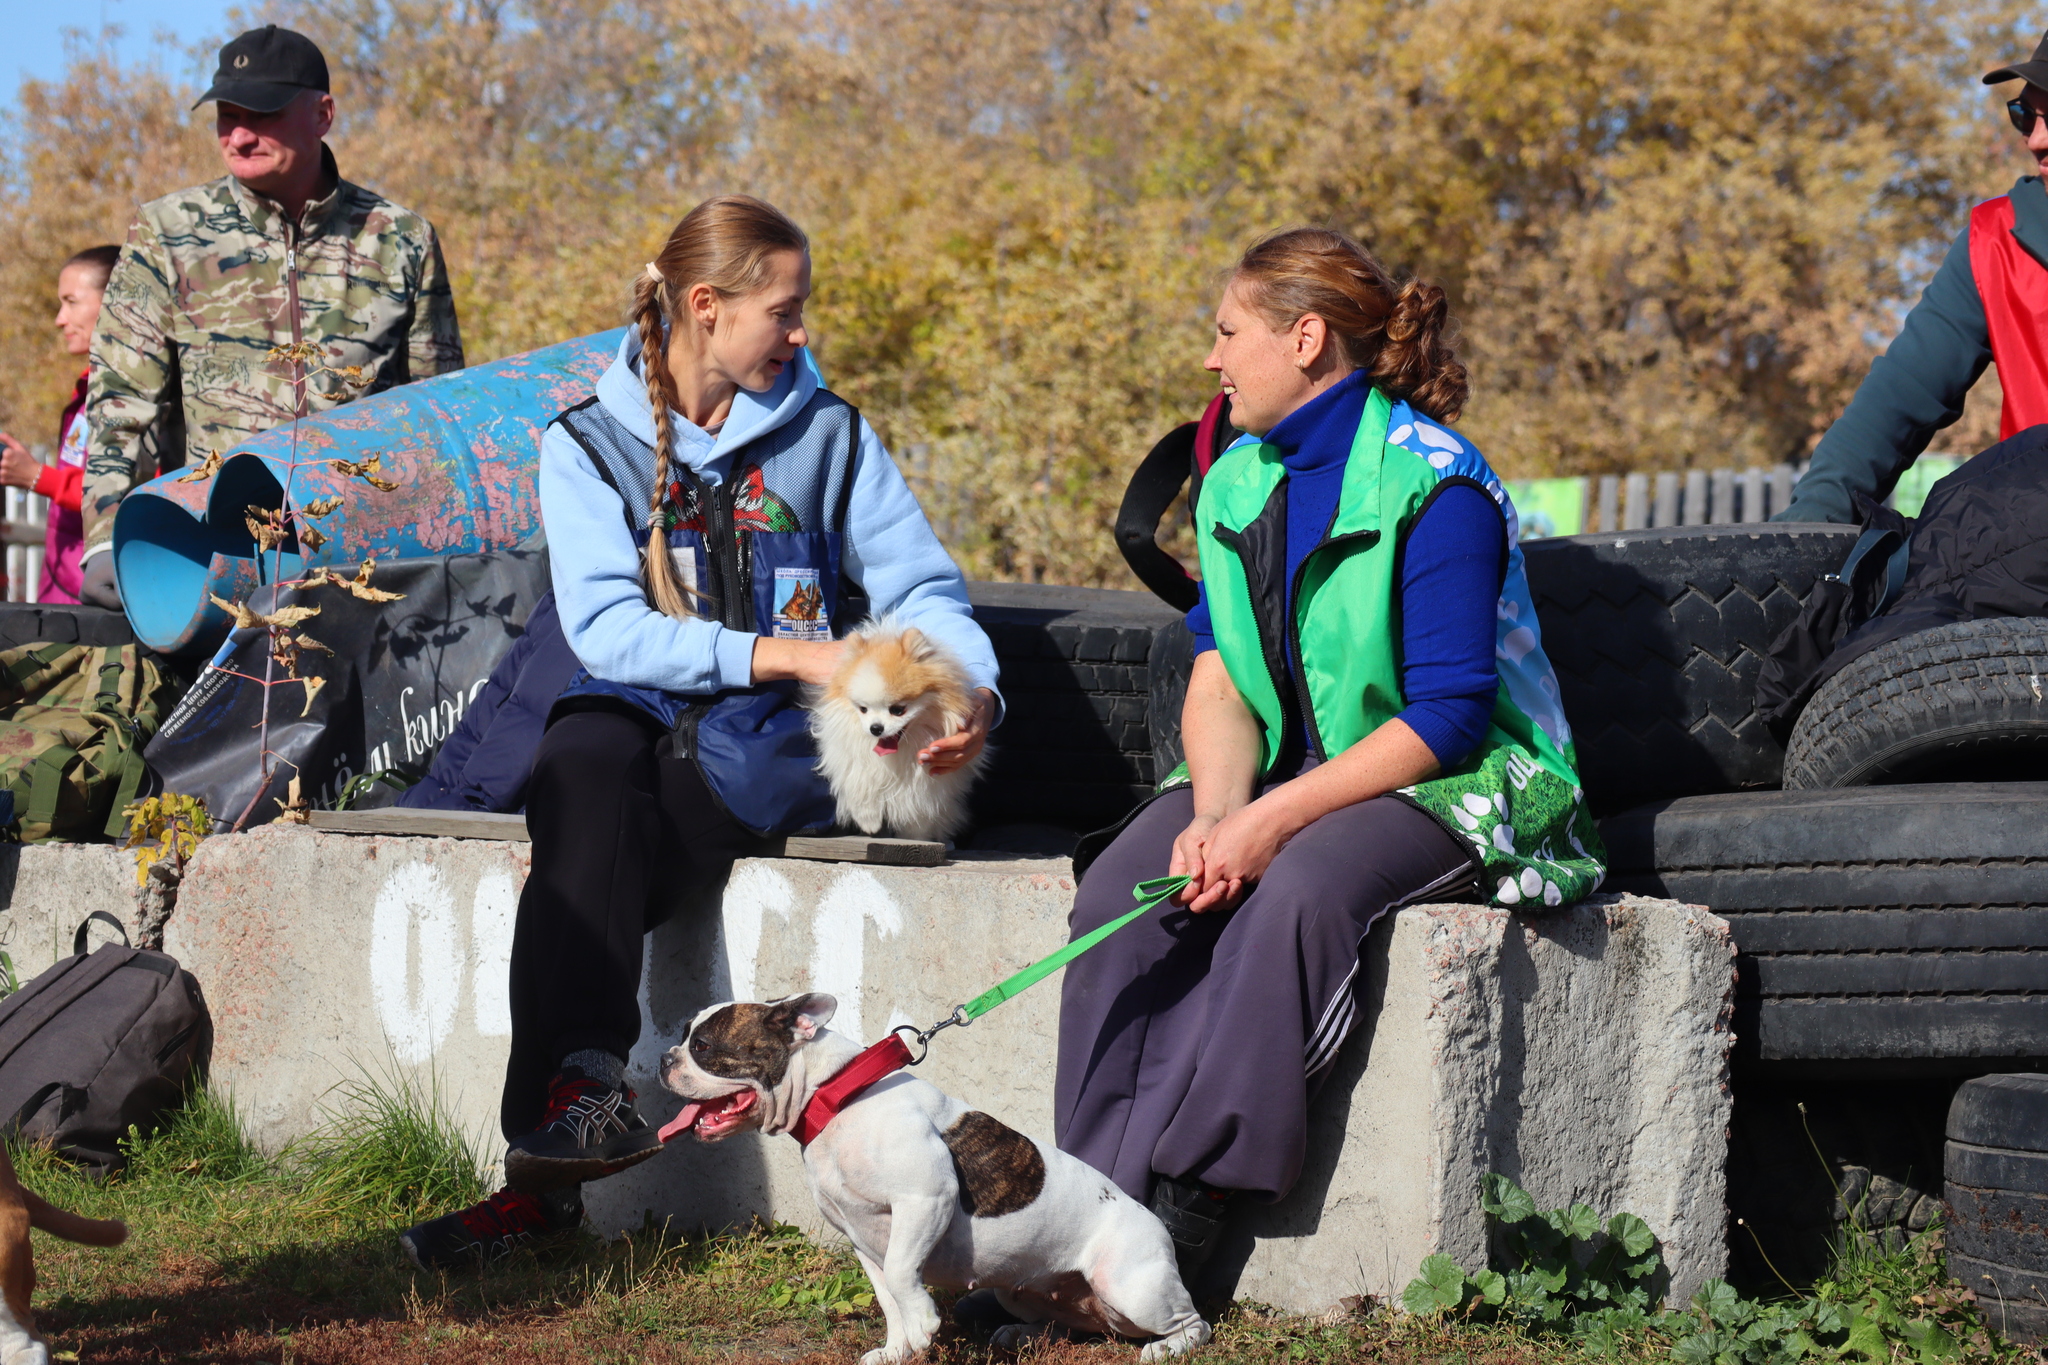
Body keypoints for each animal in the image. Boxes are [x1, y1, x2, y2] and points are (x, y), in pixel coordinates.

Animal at [802, 618, 987, 843]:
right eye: (863, 709)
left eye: (898, 710)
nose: (875, 728)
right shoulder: (851, 759)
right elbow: (860, 785)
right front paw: (869, 822)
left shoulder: (929, 782)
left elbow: (917, 815)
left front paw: (914, 839)